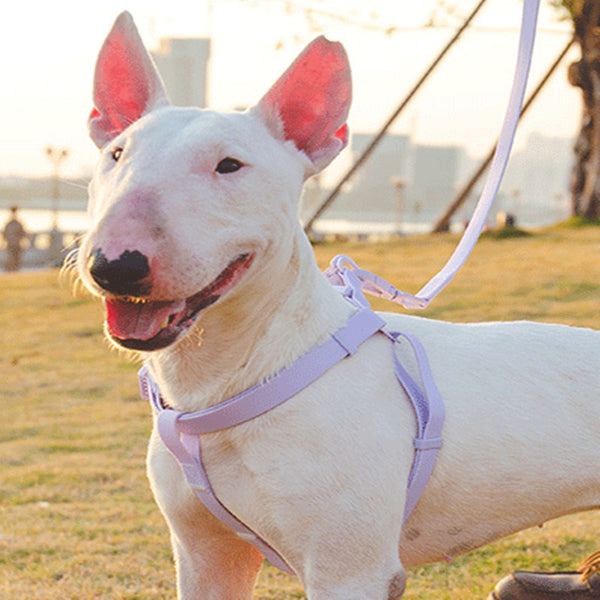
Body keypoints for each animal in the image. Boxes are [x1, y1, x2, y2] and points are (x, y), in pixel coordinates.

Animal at [78, 12, 600, 600]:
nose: (113, 265)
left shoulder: (348, 570)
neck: (226, 381)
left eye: (229, 165)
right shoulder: (205, 554)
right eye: (116, 154)